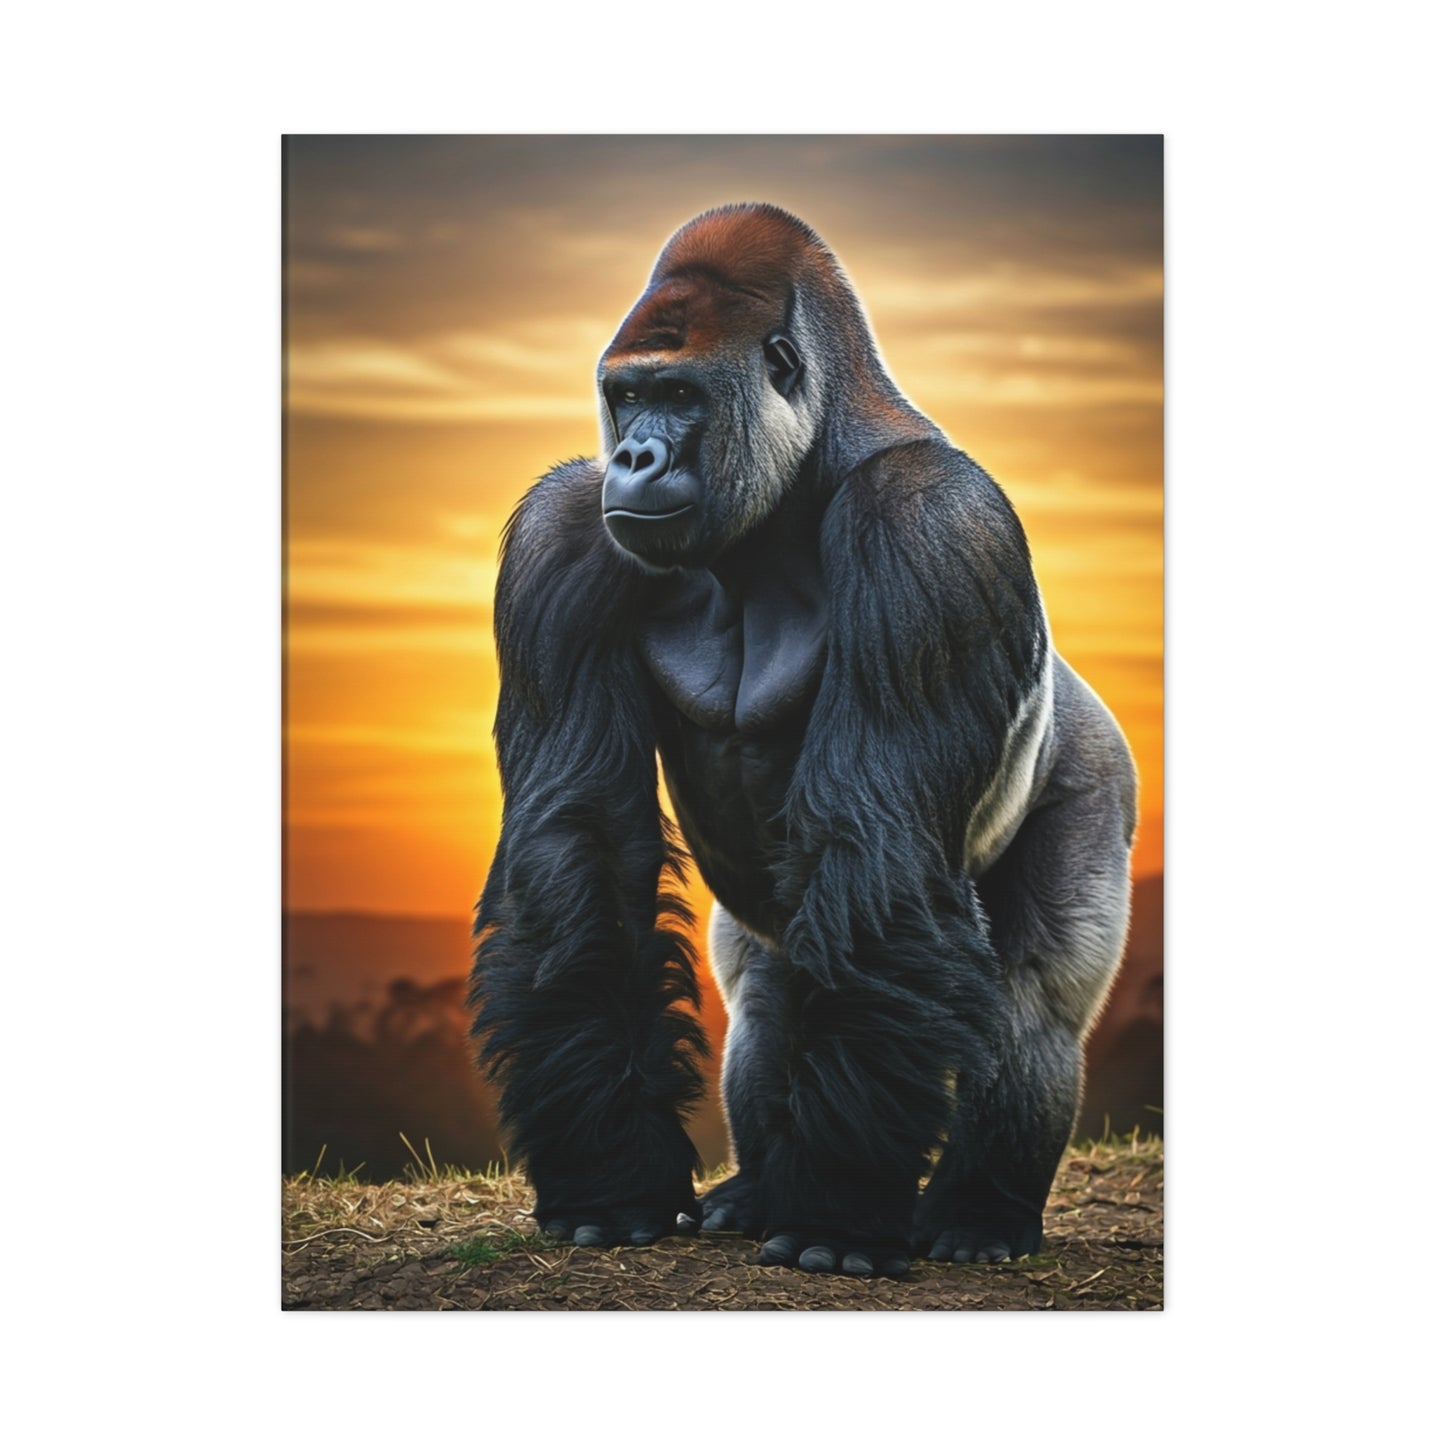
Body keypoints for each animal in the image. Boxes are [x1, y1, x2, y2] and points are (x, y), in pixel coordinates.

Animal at [469, 203, 1137, 1277]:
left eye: (679, 395)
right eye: (626, 395)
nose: (635, 458)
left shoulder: (927, 525)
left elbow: (880, 849)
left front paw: (836, 1211)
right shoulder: (561, 531)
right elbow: (581, 844)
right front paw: (612, 1175)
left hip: (1095, 772)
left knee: (1032, 993)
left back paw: (978, 1209)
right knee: (769, 990)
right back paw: (758, 1186)